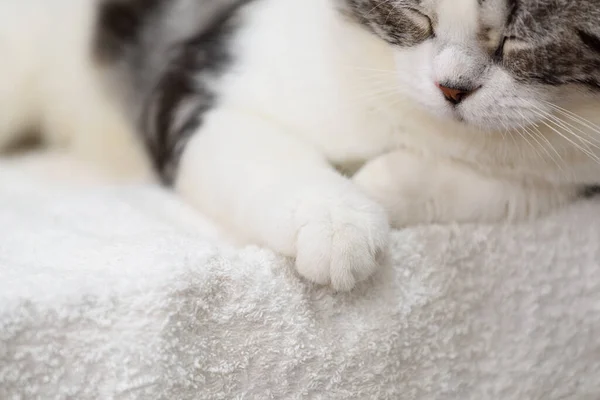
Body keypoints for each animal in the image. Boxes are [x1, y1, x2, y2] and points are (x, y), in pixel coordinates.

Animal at [1, 0, 600, 290]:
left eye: (516, 41)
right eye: (418, 14)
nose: (452, 88)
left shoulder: (573, 171)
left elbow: (505, 185)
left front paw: (378, 185)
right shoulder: (189, 88)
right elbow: (268, 159)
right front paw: (339, 226)